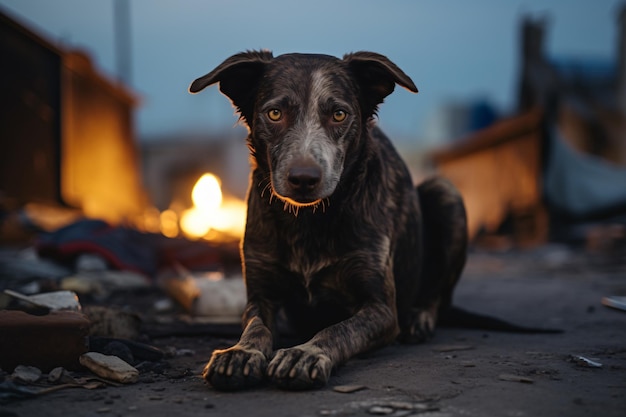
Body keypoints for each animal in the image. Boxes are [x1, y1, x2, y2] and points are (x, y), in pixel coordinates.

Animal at [190, 52, 468, 390]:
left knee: (438, 295)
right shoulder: (260, 295)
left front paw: (304, 353)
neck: (309, 219)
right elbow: (256, 327)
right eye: (274, 113)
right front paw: (241, 352)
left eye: (338, 114)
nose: (303, 178)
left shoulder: (381, 309)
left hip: (445, 193)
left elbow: (337, 330)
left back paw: (419, 317)